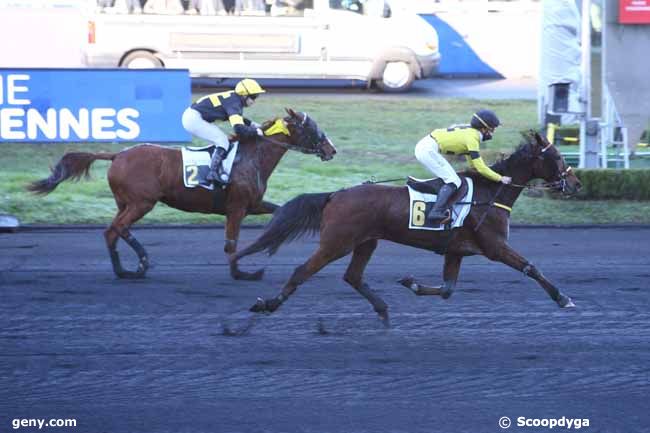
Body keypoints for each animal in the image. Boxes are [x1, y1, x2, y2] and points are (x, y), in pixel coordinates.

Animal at [27, 108, 336, 280]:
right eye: (312, 127)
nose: (331, 149)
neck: (251, 157)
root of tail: (118, 154)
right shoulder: (237, 207)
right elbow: (231, 244)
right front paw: (241, 273)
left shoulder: (253, 204)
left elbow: (281, 213)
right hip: (142, 203)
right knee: (119, 229)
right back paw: (141, 264)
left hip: (125, 203)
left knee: (111, 232)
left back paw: (123, 271)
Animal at [233, 130, 584, 322]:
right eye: (556, 156)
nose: (576, 183)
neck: (489, 195)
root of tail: (337, 194)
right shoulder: (495, 247)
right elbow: (531, 267)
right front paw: (563, 298)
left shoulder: (456, 251)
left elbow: (447, 289)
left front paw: (410, 283)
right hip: (336, 243)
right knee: (302, 271)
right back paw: (267, 304)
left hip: (366, 242)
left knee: (352, 276)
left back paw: (383, 308)